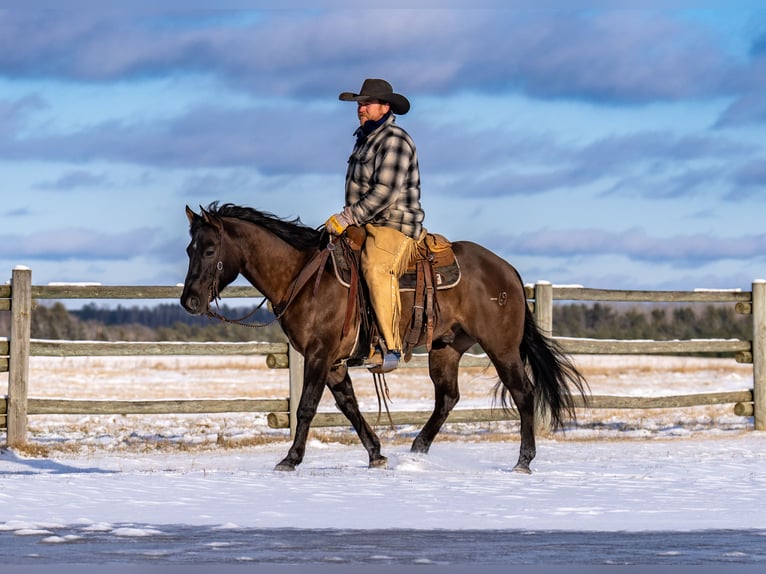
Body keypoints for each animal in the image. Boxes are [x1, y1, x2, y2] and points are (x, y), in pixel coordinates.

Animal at [180, 205, 588, 474]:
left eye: (210, 249)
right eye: (189, 249)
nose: (189, 302)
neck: (304, 277)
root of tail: (508, 271)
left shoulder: (318, 355)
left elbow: (307, 407)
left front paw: (290, 459)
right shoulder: (334, 363)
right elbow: (349, 406)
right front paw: (376, 454)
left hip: (501, 348)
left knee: (523, 393)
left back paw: (523, 461)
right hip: (446, 348)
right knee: (448, 398)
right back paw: (417, 450)